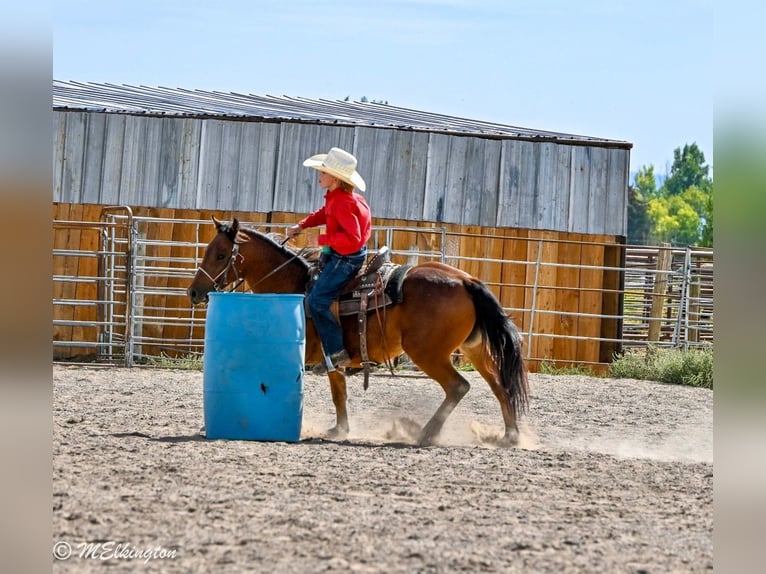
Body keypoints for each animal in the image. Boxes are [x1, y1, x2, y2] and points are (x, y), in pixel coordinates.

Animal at [187, 217, 529, 446]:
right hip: (475, 348)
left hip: (427, 353)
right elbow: (340, 393)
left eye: (220, 254)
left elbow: (333, 391)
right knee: (500, 386)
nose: (194, 292)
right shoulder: (332, 357)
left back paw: (425, 433)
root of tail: (466, 280)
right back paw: (510, 436)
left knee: (458, 386)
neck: (296, 285)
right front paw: (339, 430)